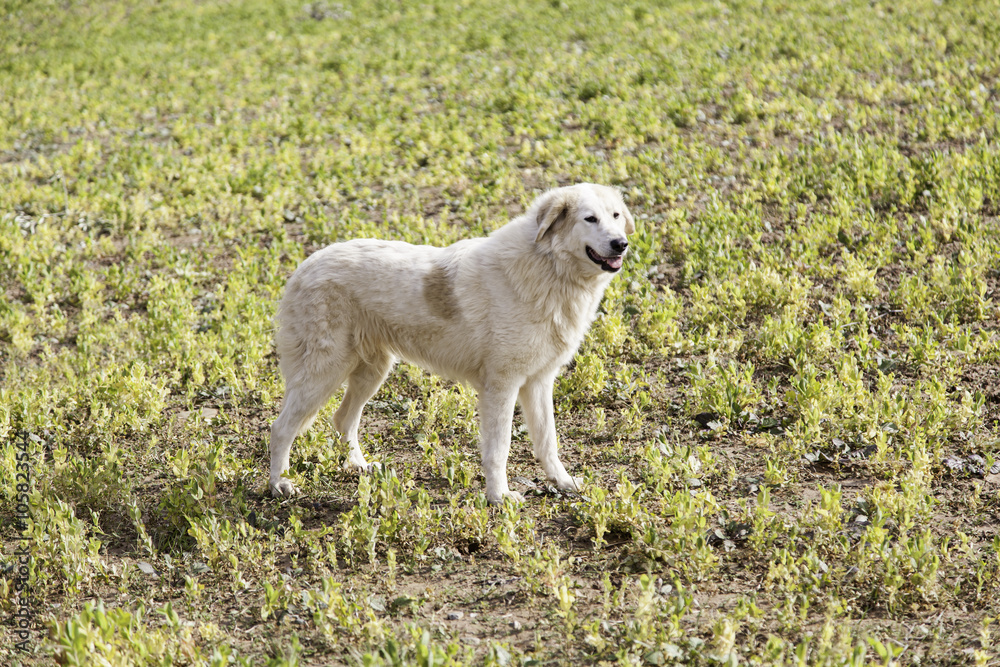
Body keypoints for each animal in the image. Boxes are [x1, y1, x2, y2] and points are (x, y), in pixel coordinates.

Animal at [268, 183, 632, 506]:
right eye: (590, 219)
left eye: (615, 215)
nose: (621, 243)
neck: (548, 268)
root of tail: (305, 266)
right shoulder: (502, 385)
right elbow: (499, 448)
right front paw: (499, 497)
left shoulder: (539, 382)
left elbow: (547, 441)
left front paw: (563, 482)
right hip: (324, 372)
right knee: (281, 427)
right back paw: (279, 484)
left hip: (371, 372)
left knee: (343, 418)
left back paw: (358, 466)